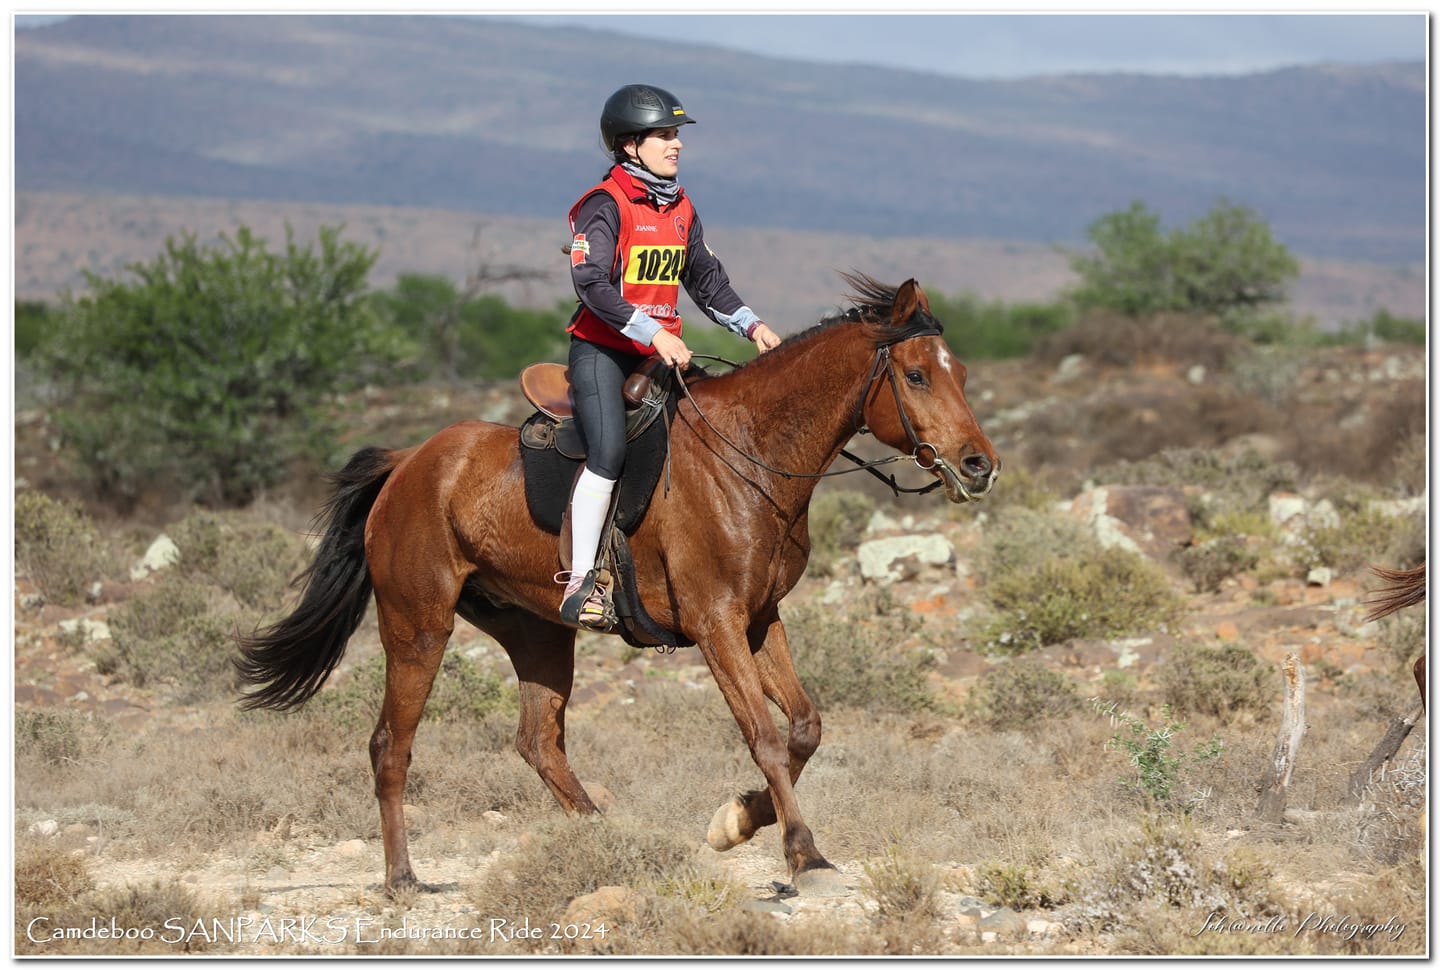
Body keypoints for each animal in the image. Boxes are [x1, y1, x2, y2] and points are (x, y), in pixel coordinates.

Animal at [235, 273, 1000, 895]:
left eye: (959, 371)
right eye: (916, 375)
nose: (978, 464)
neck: (751, 453)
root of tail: (407, 463)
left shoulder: (758, 619)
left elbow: (805, 727)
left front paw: (736, 821)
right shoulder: (716, 623)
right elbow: (764, 735)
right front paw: (802, 855)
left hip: (537, 632)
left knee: (538, 742)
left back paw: (611, 839)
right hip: (418, 624)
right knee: (391, 746)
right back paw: (402, 878)